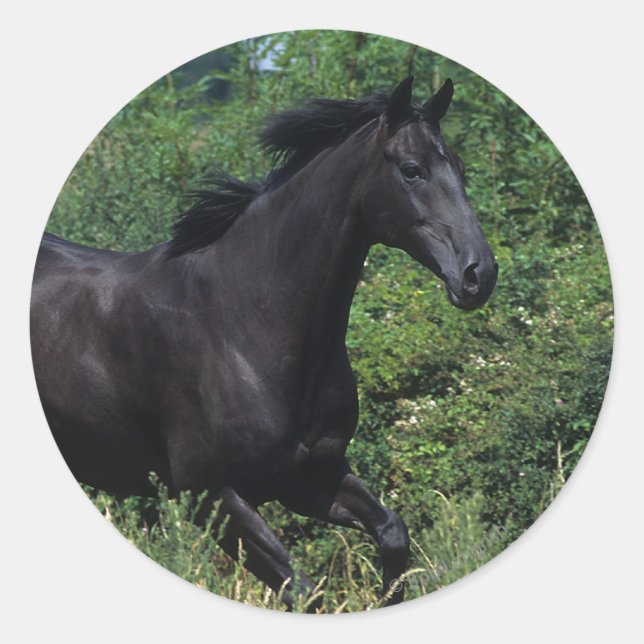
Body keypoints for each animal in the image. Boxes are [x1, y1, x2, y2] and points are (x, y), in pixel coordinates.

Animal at [30, 77, 498, 610]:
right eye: (412, 169)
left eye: (459, 166)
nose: (479, 274)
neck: (242, 323)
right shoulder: (213, 499)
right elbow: (303, 591)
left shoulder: (309, 476)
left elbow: (393, 535)